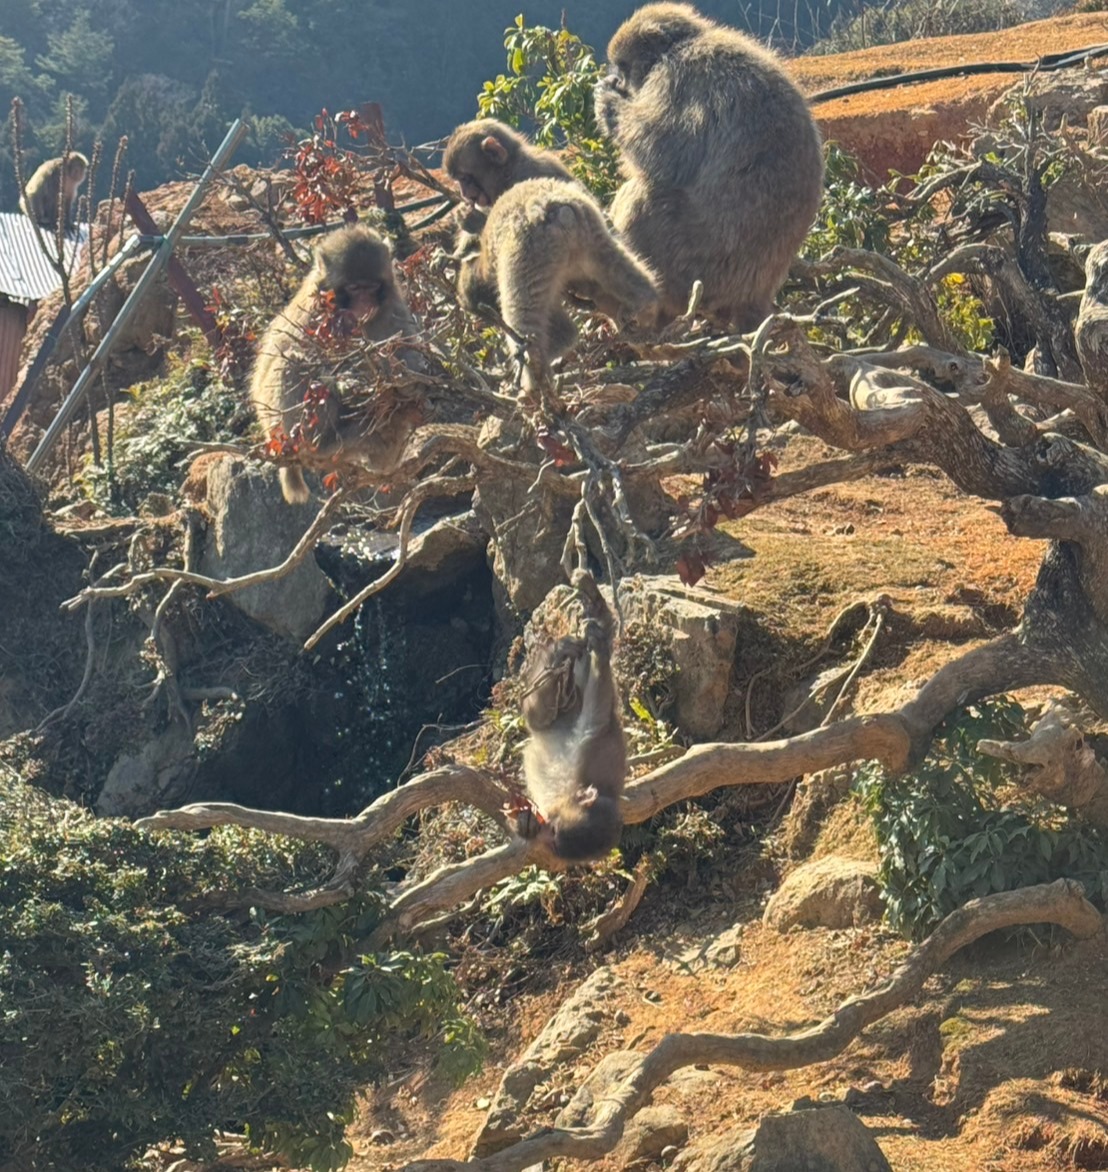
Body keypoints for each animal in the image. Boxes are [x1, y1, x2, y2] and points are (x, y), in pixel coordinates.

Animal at [250, 223, 422, 505]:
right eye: (353, 288)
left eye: (372, 286)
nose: (365, 303)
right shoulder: (316, 315)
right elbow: (305, 356)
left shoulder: (393, 304)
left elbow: (406, 348)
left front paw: (413, 376)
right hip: (284, 429)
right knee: (295, 364)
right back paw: (324, 442)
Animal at [454, 177, 658, 394]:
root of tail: (563, 213)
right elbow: (566, 330)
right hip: (593, 236)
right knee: (618, 268)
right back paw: (644, 301)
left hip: (527, 255)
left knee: (523, 318)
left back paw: (532, 379)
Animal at [519, 572, 627, 862]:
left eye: (556, 836)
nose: (547, 834)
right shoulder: (588, 750)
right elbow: (597, 717)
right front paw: (599, 648)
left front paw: (529, 826)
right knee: (542, 712)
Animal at [594, 3, 824, 331]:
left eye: (624, 67)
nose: (620, 82)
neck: (682, 44)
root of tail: (754, 294)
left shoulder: (675, 78)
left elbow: (665, 154)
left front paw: (609, 103)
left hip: (693, 265)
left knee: (642, 197)